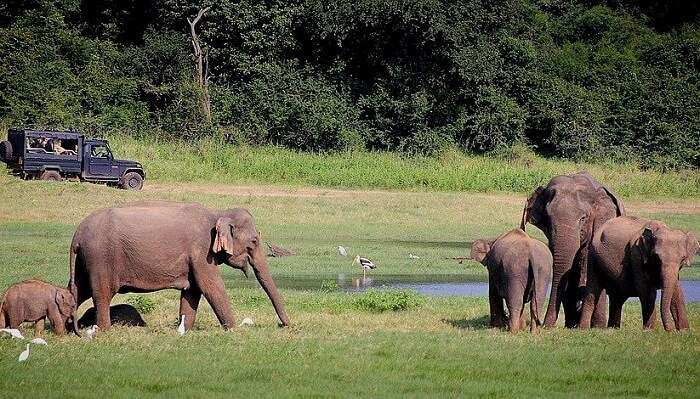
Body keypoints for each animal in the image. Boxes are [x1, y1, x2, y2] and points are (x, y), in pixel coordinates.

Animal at [68, 202, 290, 332]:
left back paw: (69, 328)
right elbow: (210, 286)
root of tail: (77, 235)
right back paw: (104, 330)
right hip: (101, 258)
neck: (218, 213)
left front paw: (185, 330)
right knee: (102, 293)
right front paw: (234, 330)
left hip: (85, 261)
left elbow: (193, 291)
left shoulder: (195, 258)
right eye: (254, 241)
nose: (284, 325)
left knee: (77, 290)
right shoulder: (201, 251)